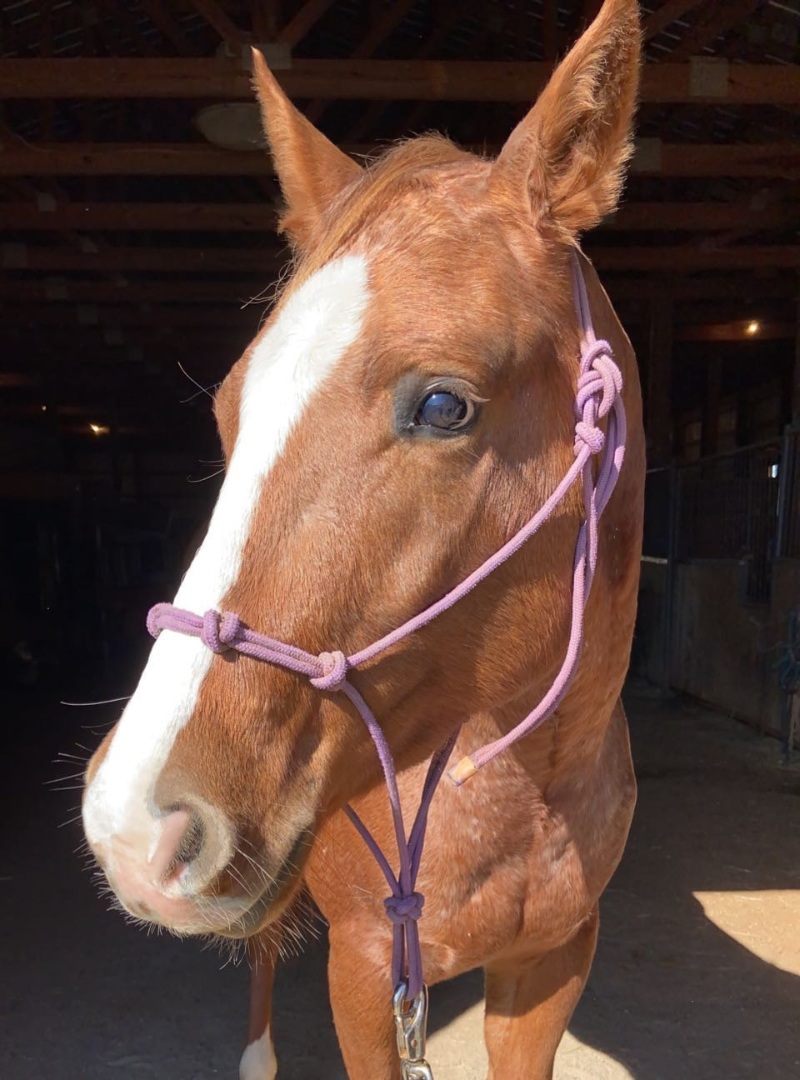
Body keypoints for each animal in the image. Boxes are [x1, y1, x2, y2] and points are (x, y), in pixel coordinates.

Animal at [82, 4, 643, 1075]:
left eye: (442, 404)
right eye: (228, 409)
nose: (129, 825)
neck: (520, 790)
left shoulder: (554, 965)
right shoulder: (368, 966)